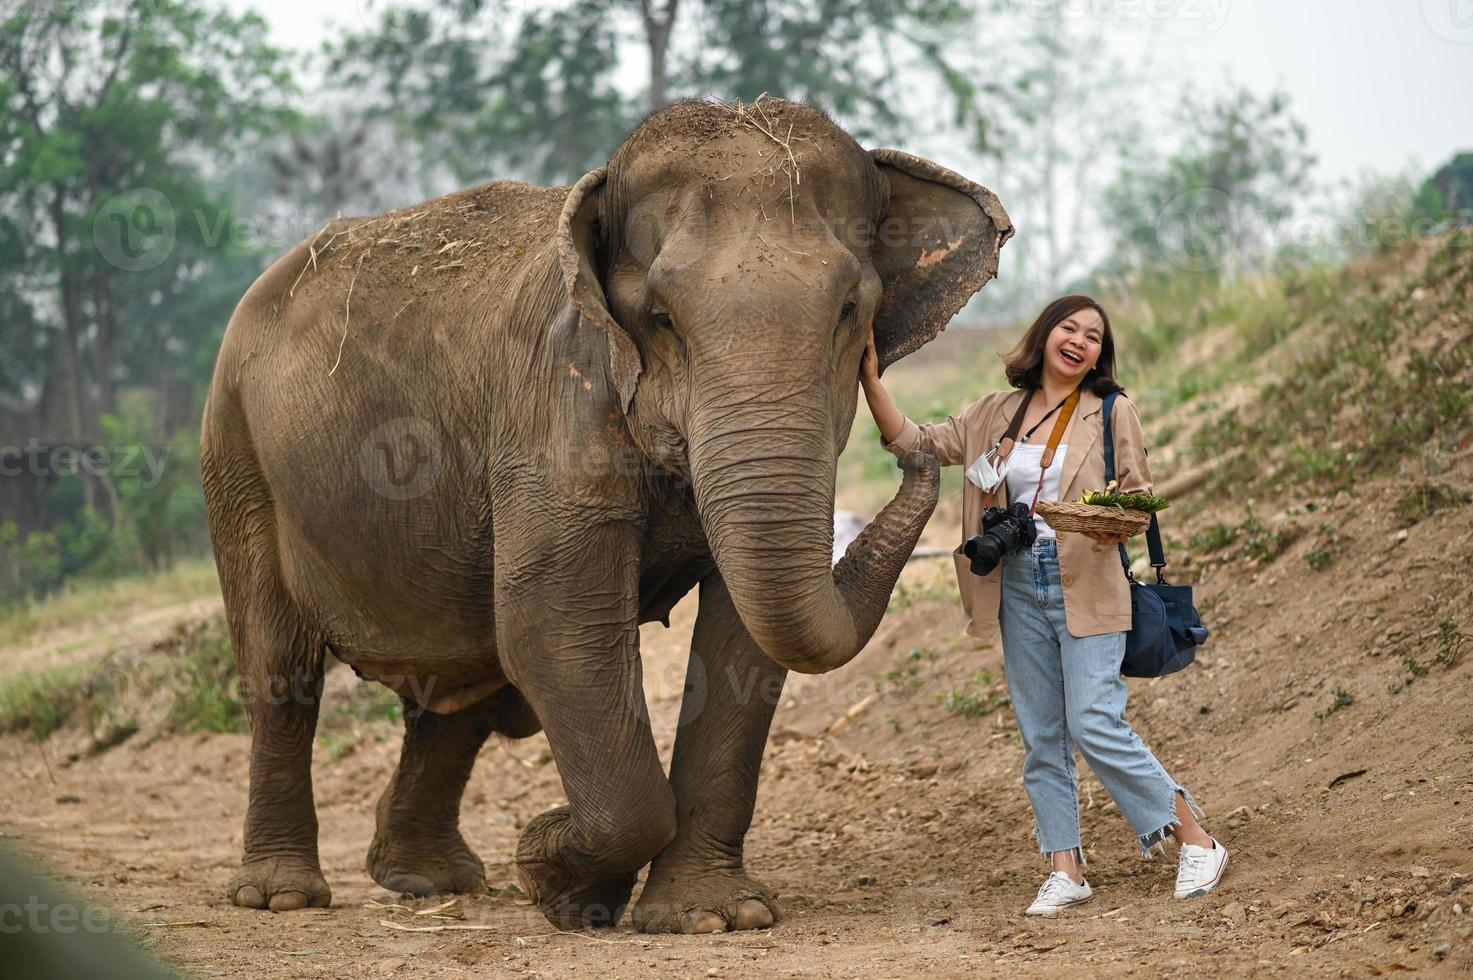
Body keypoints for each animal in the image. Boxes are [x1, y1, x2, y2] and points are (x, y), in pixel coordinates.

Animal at [201, 99, 1007, 931]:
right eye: (660, 316)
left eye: (850, 311)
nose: (911, 439)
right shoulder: (554, 402)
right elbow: (555, 622)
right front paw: (553, 873)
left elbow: (740, 642)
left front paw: (705, 916)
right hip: (236, 452)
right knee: (280, 671)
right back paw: (282, 895)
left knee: (461, 682)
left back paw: (429, 880)